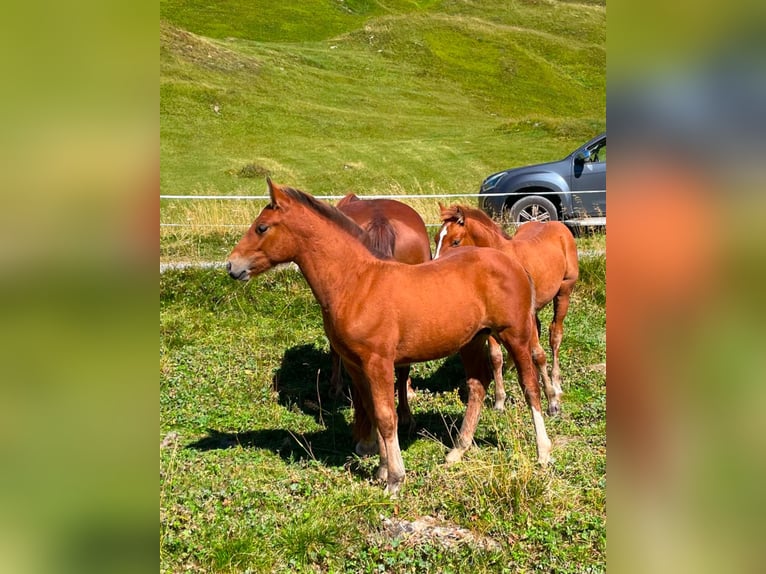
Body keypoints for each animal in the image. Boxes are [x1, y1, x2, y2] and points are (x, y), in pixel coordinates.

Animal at [226, 182, 552, 498]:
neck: (356, 282)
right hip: (472, 341)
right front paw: (381, 469)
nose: (231, 265)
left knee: (529, 386)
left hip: (515, 334)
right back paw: (457, 451)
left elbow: (385, 416)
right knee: (477, 385)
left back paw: (543, 451)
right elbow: (372, 411)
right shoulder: (356, 364)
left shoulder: (378, 362)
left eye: (262, 227)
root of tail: (512, 262)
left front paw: (395, 479)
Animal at [436, 207, 580, 418]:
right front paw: (499, 401)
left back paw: (556, 384)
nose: (435, 265)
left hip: (564, 291)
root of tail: (556, 224)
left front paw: (552, 402)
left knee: (555, 335)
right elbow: (496, 357)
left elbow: (538, 354)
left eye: (455, 241)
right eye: (436, 238)